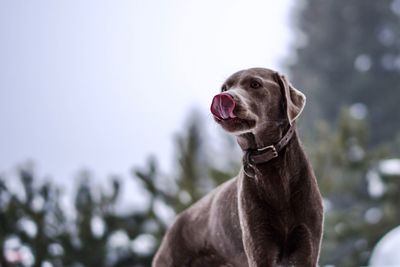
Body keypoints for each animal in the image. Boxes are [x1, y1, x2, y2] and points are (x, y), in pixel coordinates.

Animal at [152, 68, 324, 266]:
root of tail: (174, 224)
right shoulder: (258, 246)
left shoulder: (307, 245)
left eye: (255, 84)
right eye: (224, 87)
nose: (223, 97)